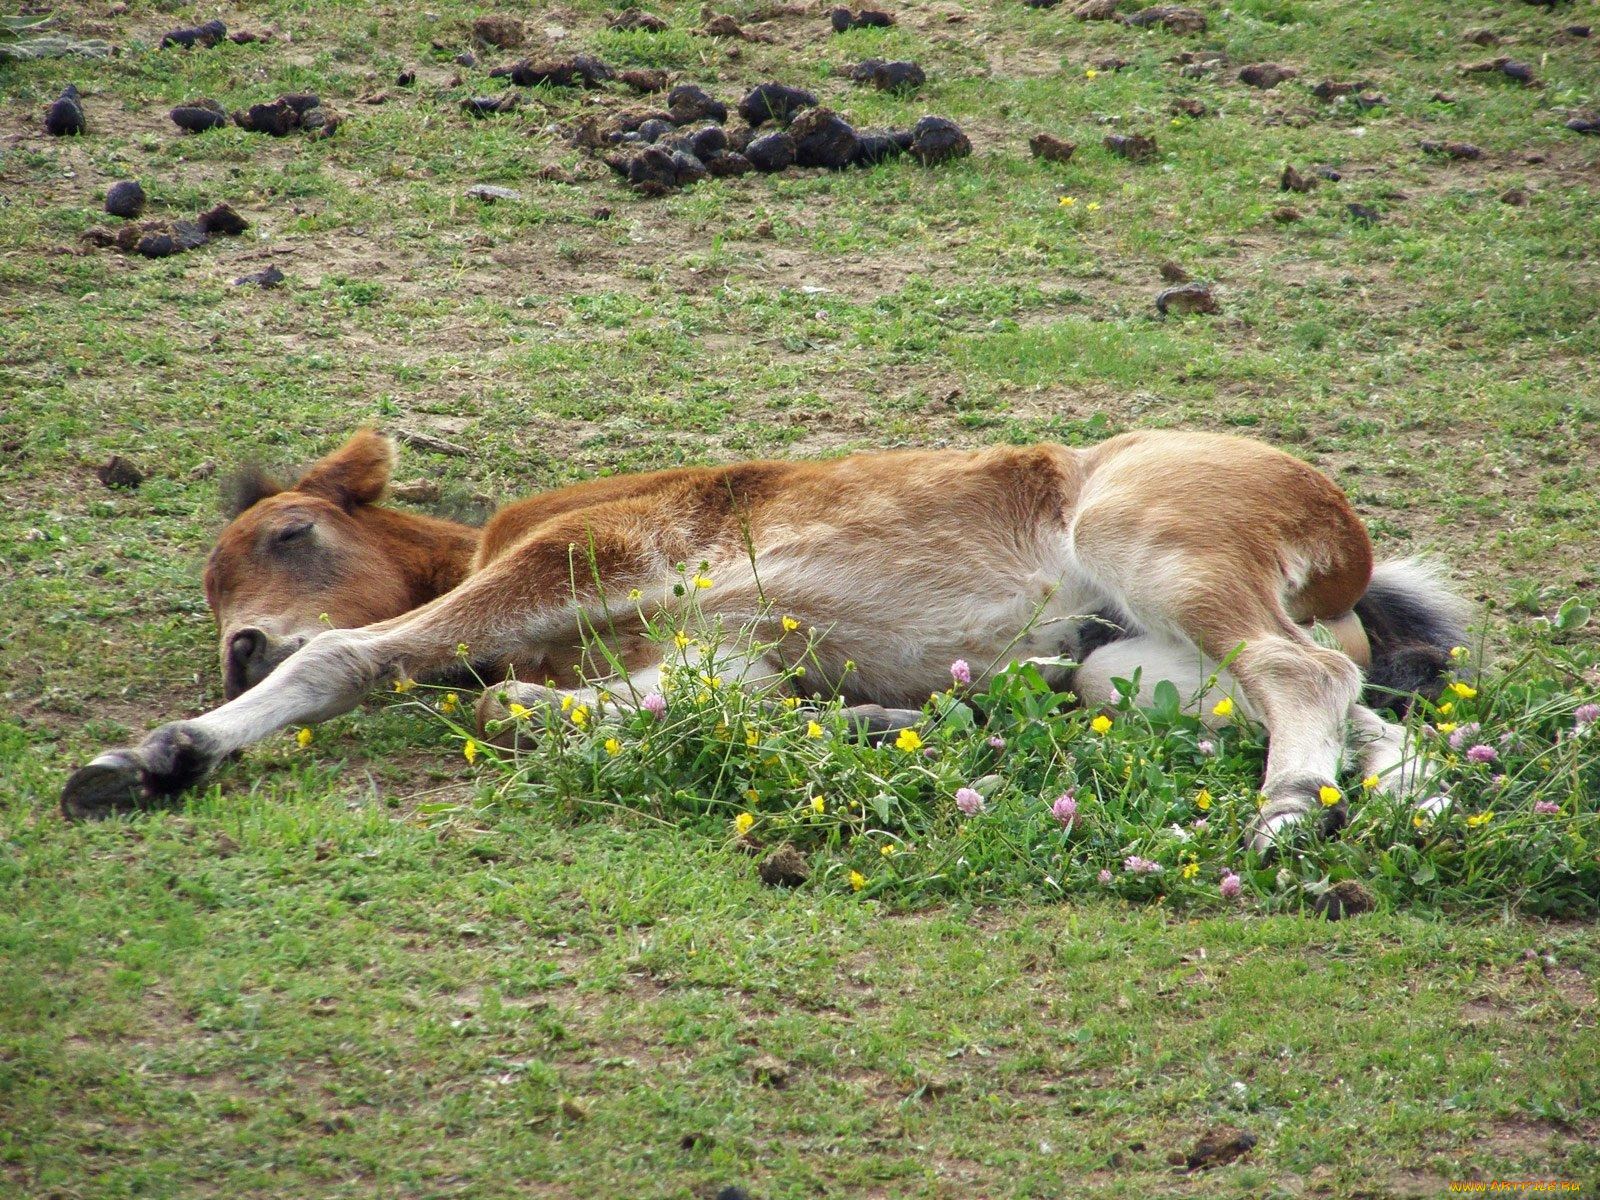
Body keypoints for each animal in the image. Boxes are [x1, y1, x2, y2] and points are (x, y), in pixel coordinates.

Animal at [59, 428, 1465, 851]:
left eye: (290, 533)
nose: (238, 647)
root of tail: (1341, 532)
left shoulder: (589, 554)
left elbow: (362, 658)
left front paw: (153, 756)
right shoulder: (714, 653)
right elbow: (529, 708)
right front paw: (879, 719)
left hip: (1156, 545)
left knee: (1303, 673)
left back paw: (1284, 817)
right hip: (1129, 660)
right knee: (1353, 704)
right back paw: (1405, 808)